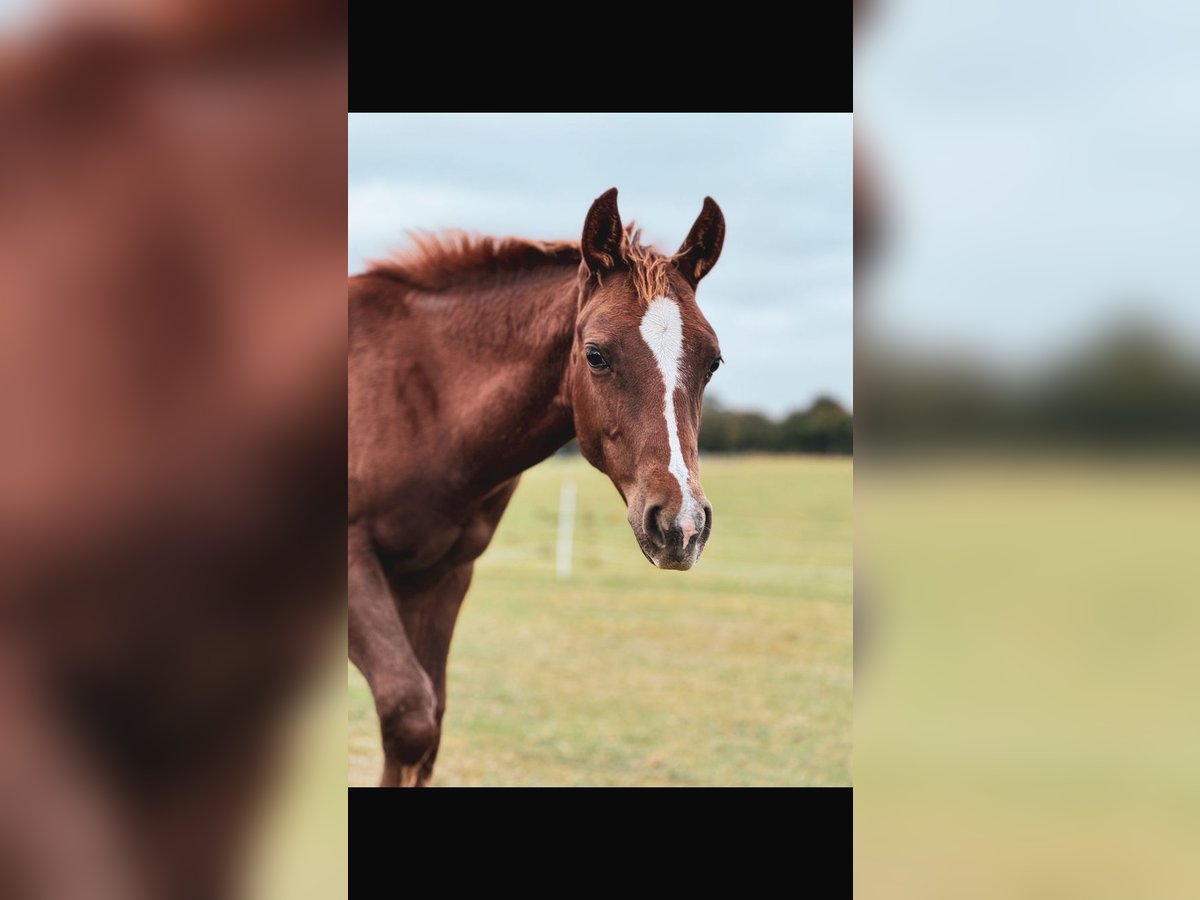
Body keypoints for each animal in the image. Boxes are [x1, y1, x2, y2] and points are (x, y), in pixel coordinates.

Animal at [348, 187, 720, 787]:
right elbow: (408, 714)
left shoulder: (440, 576)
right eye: (596, 354)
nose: (682, 525)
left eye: (713, 362)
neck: (419, 401)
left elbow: (426, 728)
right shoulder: (356, 561)